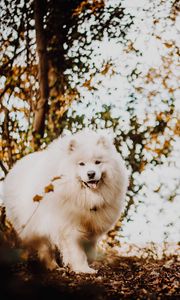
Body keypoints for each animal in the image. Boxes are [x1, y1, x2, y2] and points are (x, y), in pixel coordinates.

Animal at [3, 130, 128, 274]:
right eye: (81, 164)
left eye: (97, 162)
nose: (91, 174)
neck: (86, 197)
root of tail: (15, 167)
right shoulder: (70, 227)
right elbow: (77, 252)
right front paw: (83, 268)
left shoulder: (92, 226)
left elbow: (90, 249)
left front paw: (88, 263)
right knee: (45, 248)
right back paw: (52, 266)